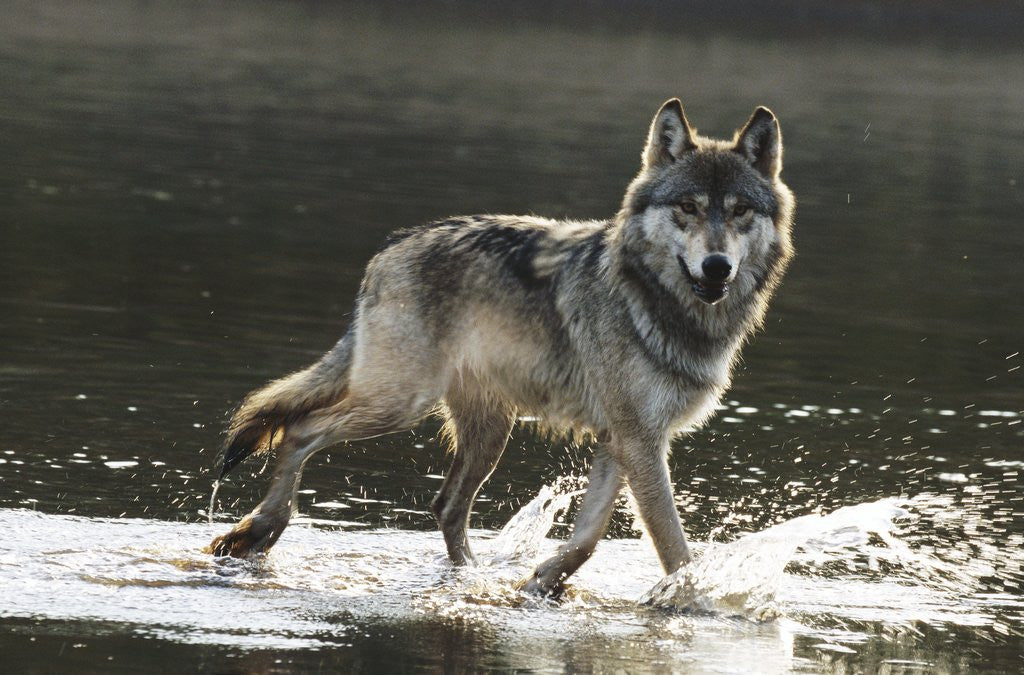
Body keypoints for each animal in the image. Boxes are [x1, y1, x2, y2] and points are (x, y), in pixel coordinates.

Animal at [207, 98, 794, 597]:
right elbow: (674, 547)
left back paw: (471, 576)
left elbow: (588, 537)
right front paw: (695, 603)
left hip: (488, 434)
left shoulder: (622, 440)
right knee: (301, 431)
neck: (659, 304)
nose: (717, 267)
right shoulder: (641, 442)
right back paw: (258, 531)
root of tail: (389, 250)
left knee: (446, 505)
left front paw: (543, 581)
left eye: (739, 210)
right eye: (688, 207)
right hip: (400, 405)